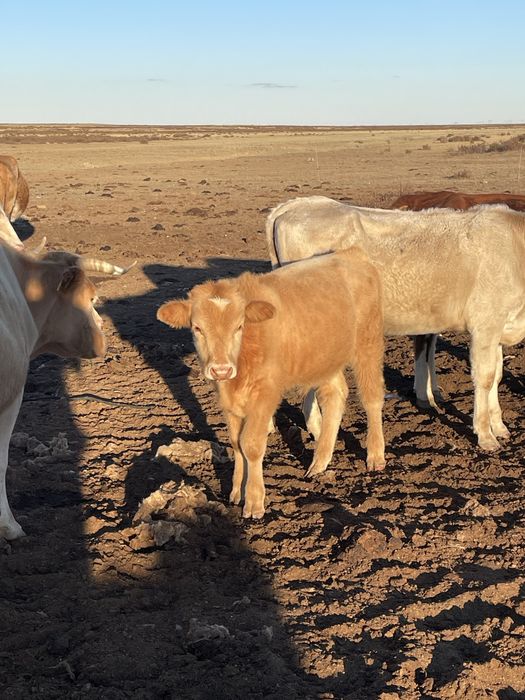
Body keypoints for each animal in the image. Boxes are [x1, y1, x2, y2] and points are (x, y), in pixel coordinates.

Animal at [157, 248, 386, 519]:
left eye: (239, 326)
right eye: (197, 328)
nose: (221, 369)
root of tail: (350, 254)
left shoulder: (266, 394)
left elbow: (251, 444)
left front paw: (254, 501)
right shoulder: (229, 401)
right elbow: (236, 442)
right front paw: (236, 491)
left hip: (368, 342)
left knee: (372, 397)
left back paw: (375, 454)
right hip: (325, 358)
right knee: (335, 395)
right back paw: (319, 462)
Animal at [265, 196, 525, 452]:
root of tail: (299, 204)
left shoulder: (500, 327)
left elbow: (498, 375)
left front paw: (499, 426)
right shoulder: (485, 326)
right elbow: (486, 378)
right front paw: (485, 435)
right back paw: (317, 429)